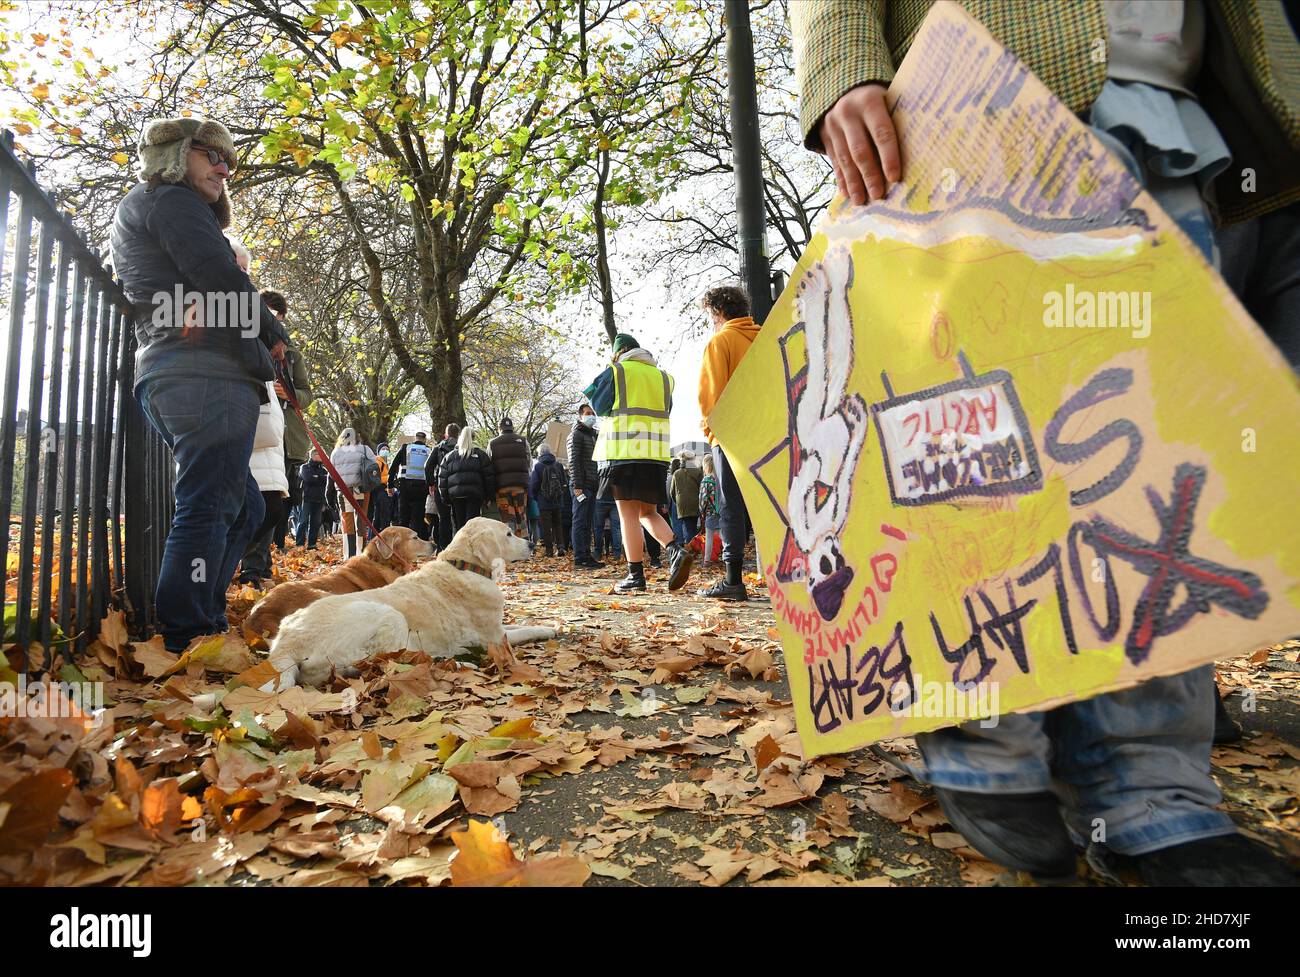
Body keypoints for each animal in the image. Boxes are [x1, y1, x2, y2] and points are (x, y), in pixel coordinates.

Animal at [269, 519, 553, 685]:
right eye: (508, 533)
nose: (532, 544)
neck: (464, 566)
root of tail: (284, 646)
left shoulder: (499, 627)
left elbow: (521, 624)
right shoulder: (494, 637)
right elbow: (526, 630)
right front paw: (550, 629)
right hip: (389, 616)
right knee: (390, 663)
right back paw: (457, 663)